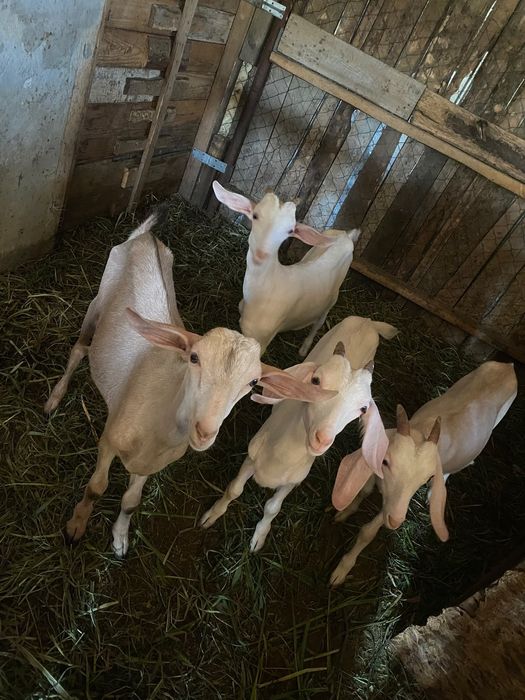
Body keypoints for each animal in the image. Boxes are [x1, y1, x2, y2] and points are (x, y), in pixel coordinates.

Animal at [45, 213, 333, 557]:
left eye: (253, 382)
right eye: (194, 358)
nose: (204, 431)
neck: (159, 419)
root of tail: (147, 237)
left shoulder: (152, 464)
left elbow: (131, 502)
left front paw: (120, 538)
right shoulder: (109, 440)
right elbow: (95, 487)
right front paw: (76, 526)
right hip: (98, 300)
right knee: (79, 350)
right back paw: (54, 399)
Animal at [200, 317, 398, 551]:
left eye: (363, 409)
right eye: (316, 381)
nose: (322, 439)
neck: (282, 455)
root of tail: (368, 321)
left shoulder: (293, 481)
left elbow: (273, 508)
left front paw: (259, 536)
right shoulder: (252, 455)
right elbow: (234, 489)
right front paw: (212, 514)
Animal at [212, 181, 360, 356]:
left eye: (290, 231)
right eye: (255, 216)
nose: (261, 255)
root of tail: (346, 236)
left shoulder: (262, 340)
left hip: (332, 299)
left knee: (319, 322)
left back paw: (304, 349)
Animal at [329, 361, 518, 585]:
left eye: (425, 478)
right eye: (385, 461)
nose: (396, 521)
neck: (421, 433)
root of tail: (508, 366)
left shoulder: (396, 503)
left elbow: (368, 531)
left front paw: (342, 570)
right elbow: (364, 491)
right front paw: (344, 512)